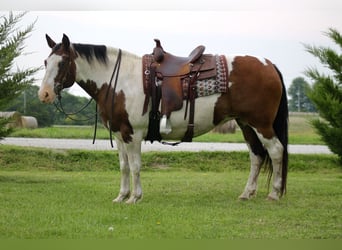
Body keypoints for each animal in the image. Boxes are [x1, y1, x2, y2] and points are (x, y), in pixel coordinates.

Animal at [38, 34, 288, 204]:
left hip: (261, 124)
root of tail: (269, 65)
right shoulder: (119, 135)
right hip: (246, 124)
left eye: (62, 63)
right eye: (45, 62)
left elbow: (135, 166)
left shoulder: (133, 134)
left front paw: (134, 197)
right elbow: (123, 166)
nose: (45, 94)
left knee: (275, 151)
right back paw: (247, 193)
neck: (120, 80)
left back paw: (274, 193)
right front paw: (121, 196)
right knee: (256, 155)